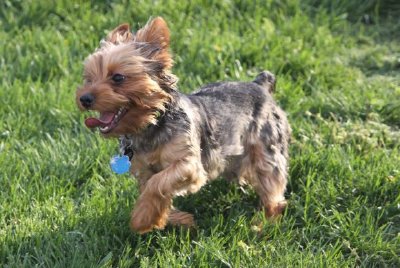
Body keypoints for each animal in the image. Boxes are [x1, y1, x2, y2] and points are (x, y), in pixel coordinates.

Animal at [76, 17, 290, 234]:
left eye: (118, 77)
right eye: (88, 79)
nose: (84, 98)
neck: (150, 125)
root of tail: (260, 84)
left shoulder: (189, 164)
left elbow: (157, 183)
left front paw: (141, 220)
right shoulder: (143, 170)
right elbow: (152, 189)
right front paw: (173, 219)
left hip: (267, 147)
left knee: (273, 188)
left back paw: (263, 223)